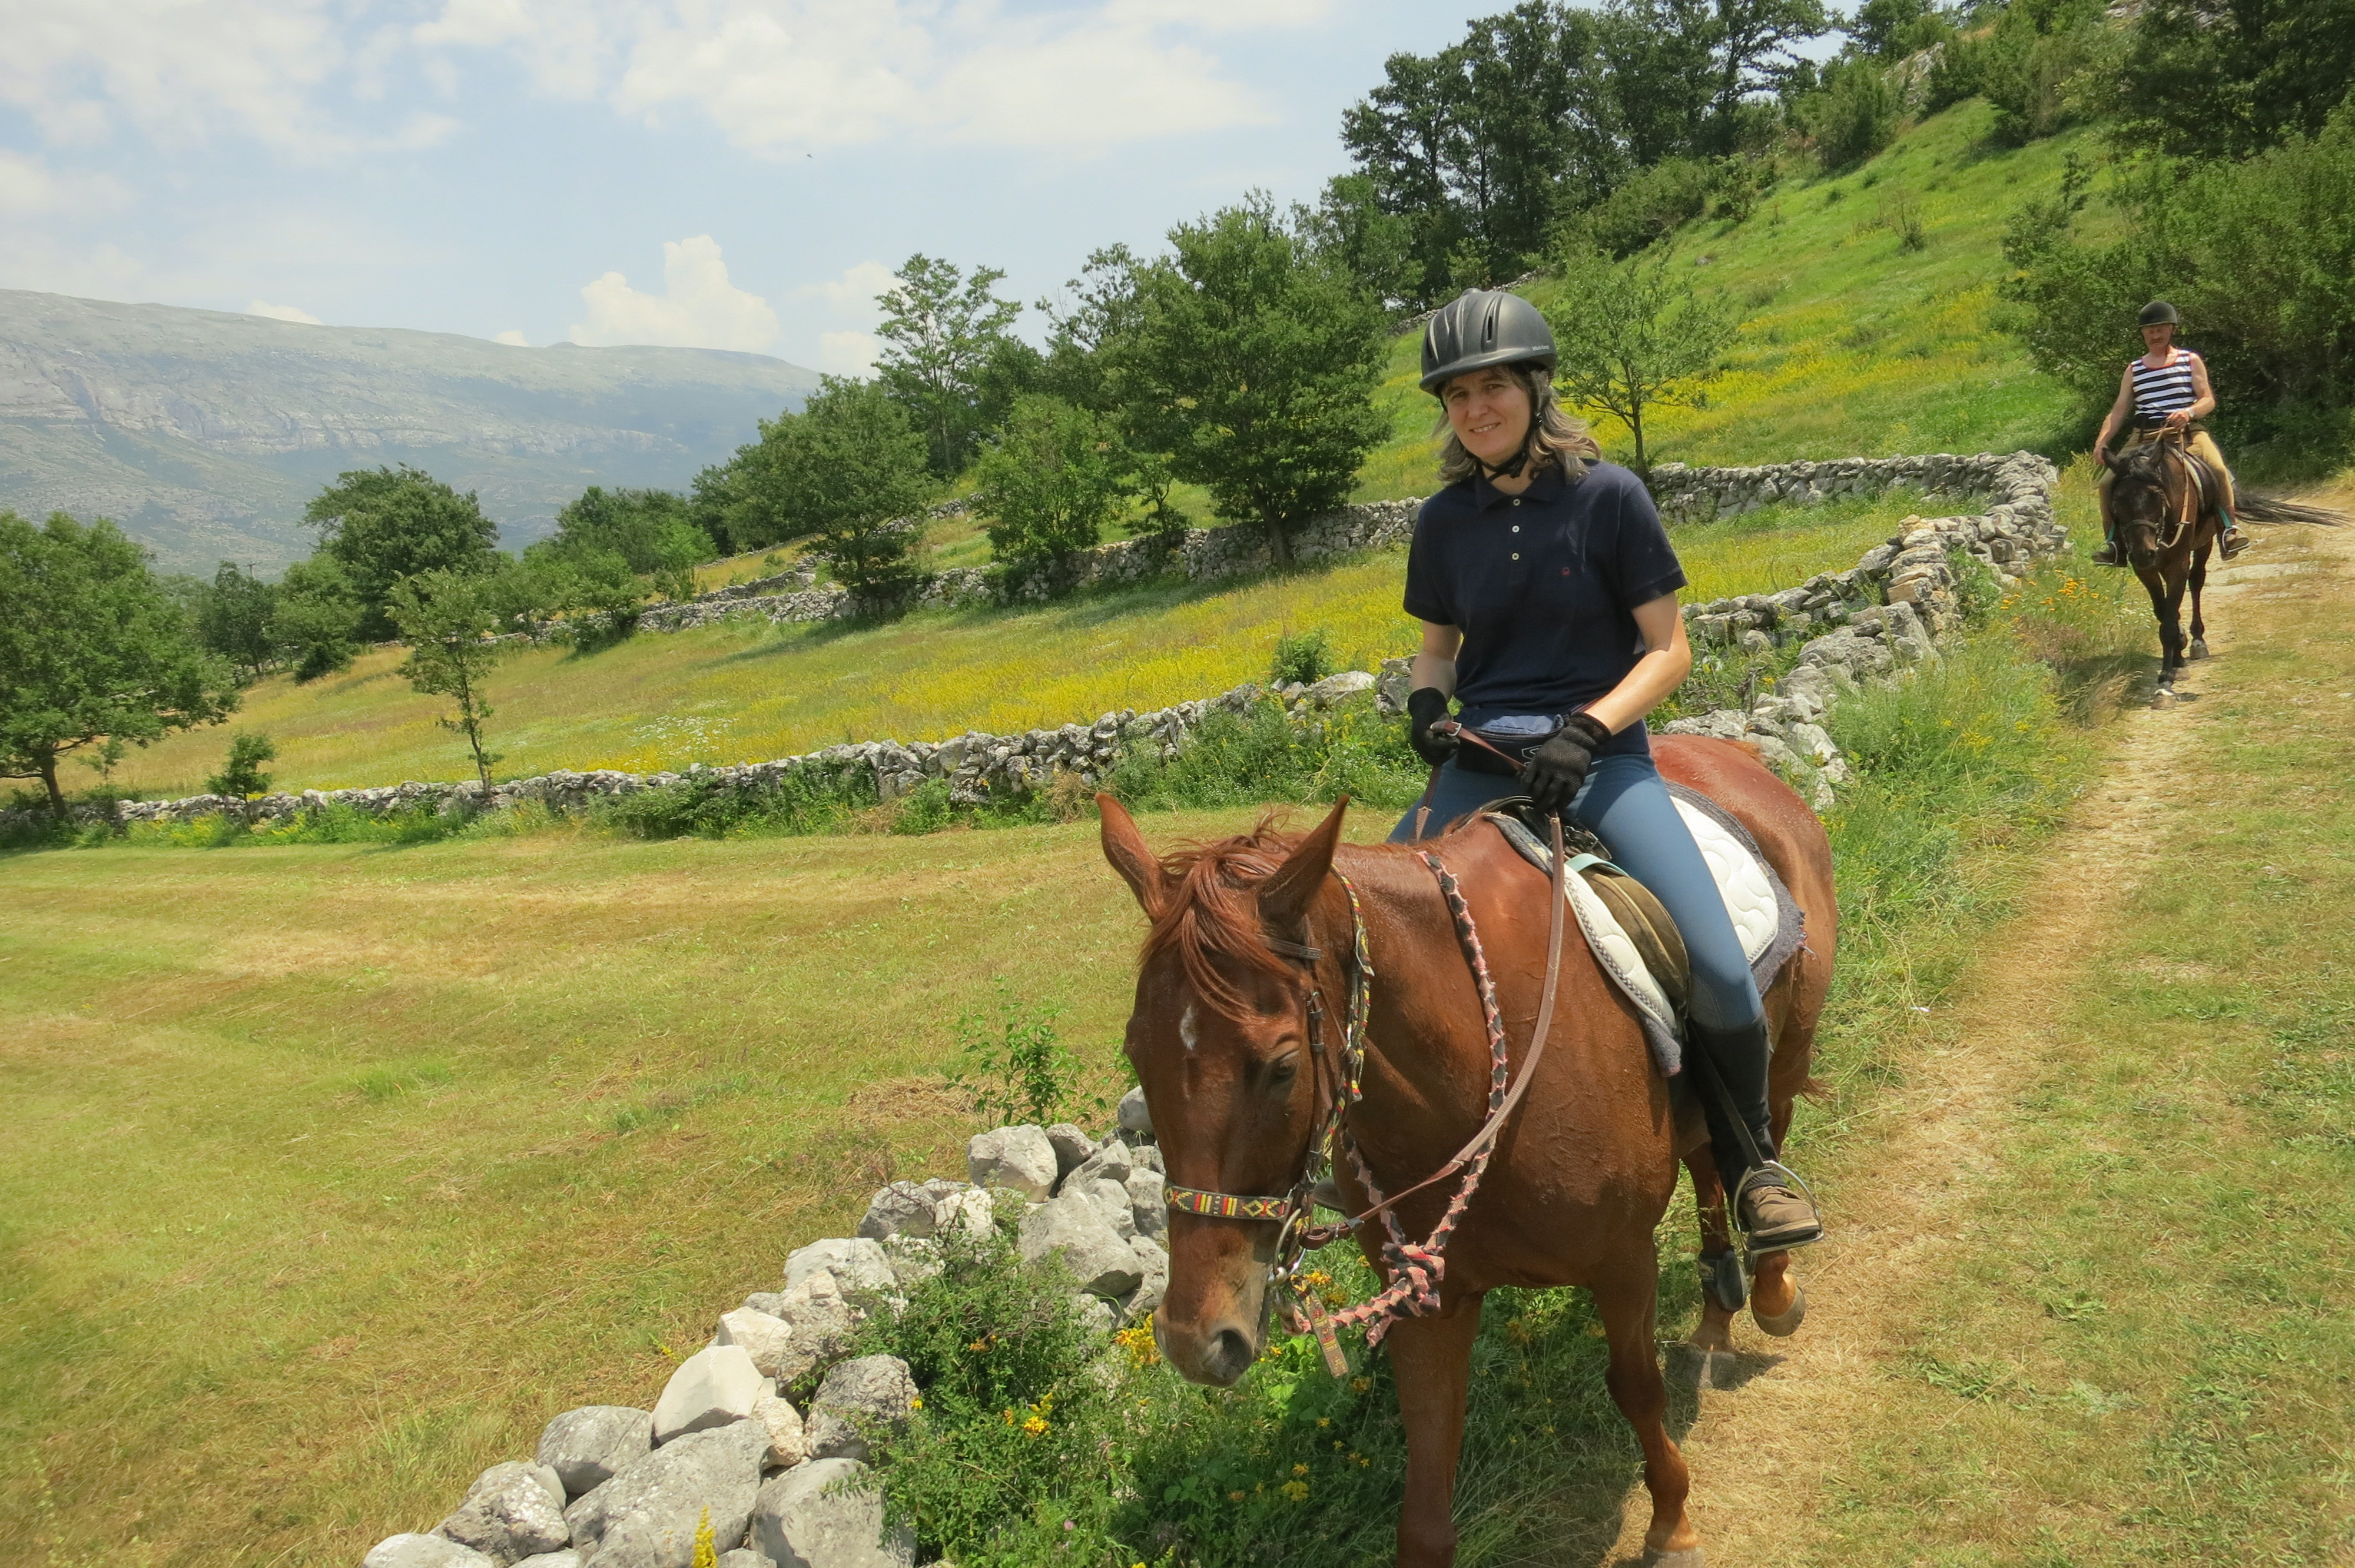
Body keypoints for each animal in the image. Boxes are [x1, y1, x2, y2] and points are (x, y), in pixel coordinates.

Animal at [1102, 735, 1837, 1563]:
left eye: (1283, 1065)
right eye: (1137, 1054)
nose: (1195, 1341)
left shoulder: (1622, 1262)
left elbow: (1634, 1386)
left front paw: (1671, 1519)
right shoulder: (1426, 1297)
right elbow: (1426, 1492)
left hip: (1779, 1057)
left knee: (1757, 1141)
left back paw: (1770, 1283)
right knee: (1709, 1165)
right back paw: (1714, 1324)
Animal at [2120, 428, 2223, 697]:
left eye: (2156, 496)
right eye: (2116, 501)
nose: (2142, 553)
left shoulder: (2178, 563)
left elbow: (2169, 620)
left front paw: (2167, 680)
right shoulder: (2145, 570)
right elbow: (2164, 611)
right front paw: (2177, 656)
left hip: (2204, 544)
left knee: (2196, 581)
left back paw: (2197, 641)